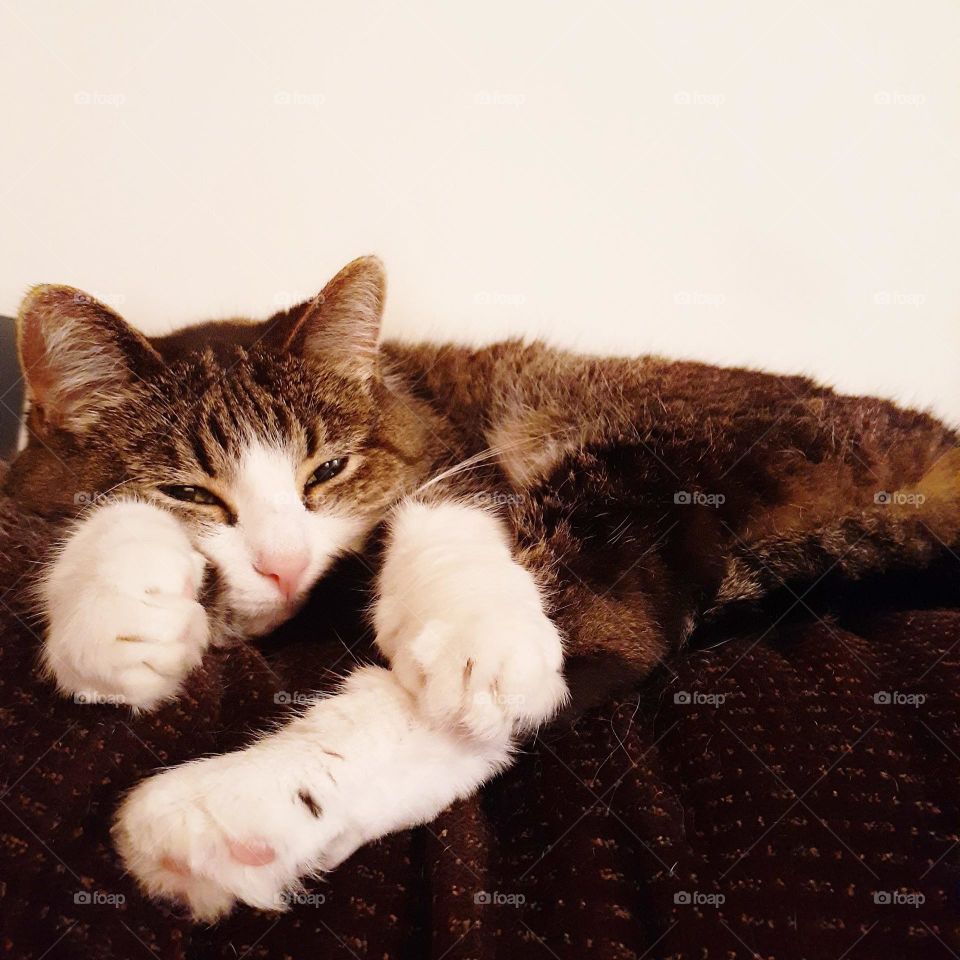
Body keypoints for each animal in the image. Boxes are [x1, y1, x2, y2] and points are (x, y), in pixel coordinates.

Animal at [9, 256, 960, 924]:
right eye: (189, 491)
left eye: (327, 472)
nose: (283, 563)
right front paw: (120, 617)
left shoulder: (465, 463)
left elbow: (448, 517)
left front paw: (474, 632)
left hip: (641, 456)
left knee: (579, 649)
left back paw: (223, 808)